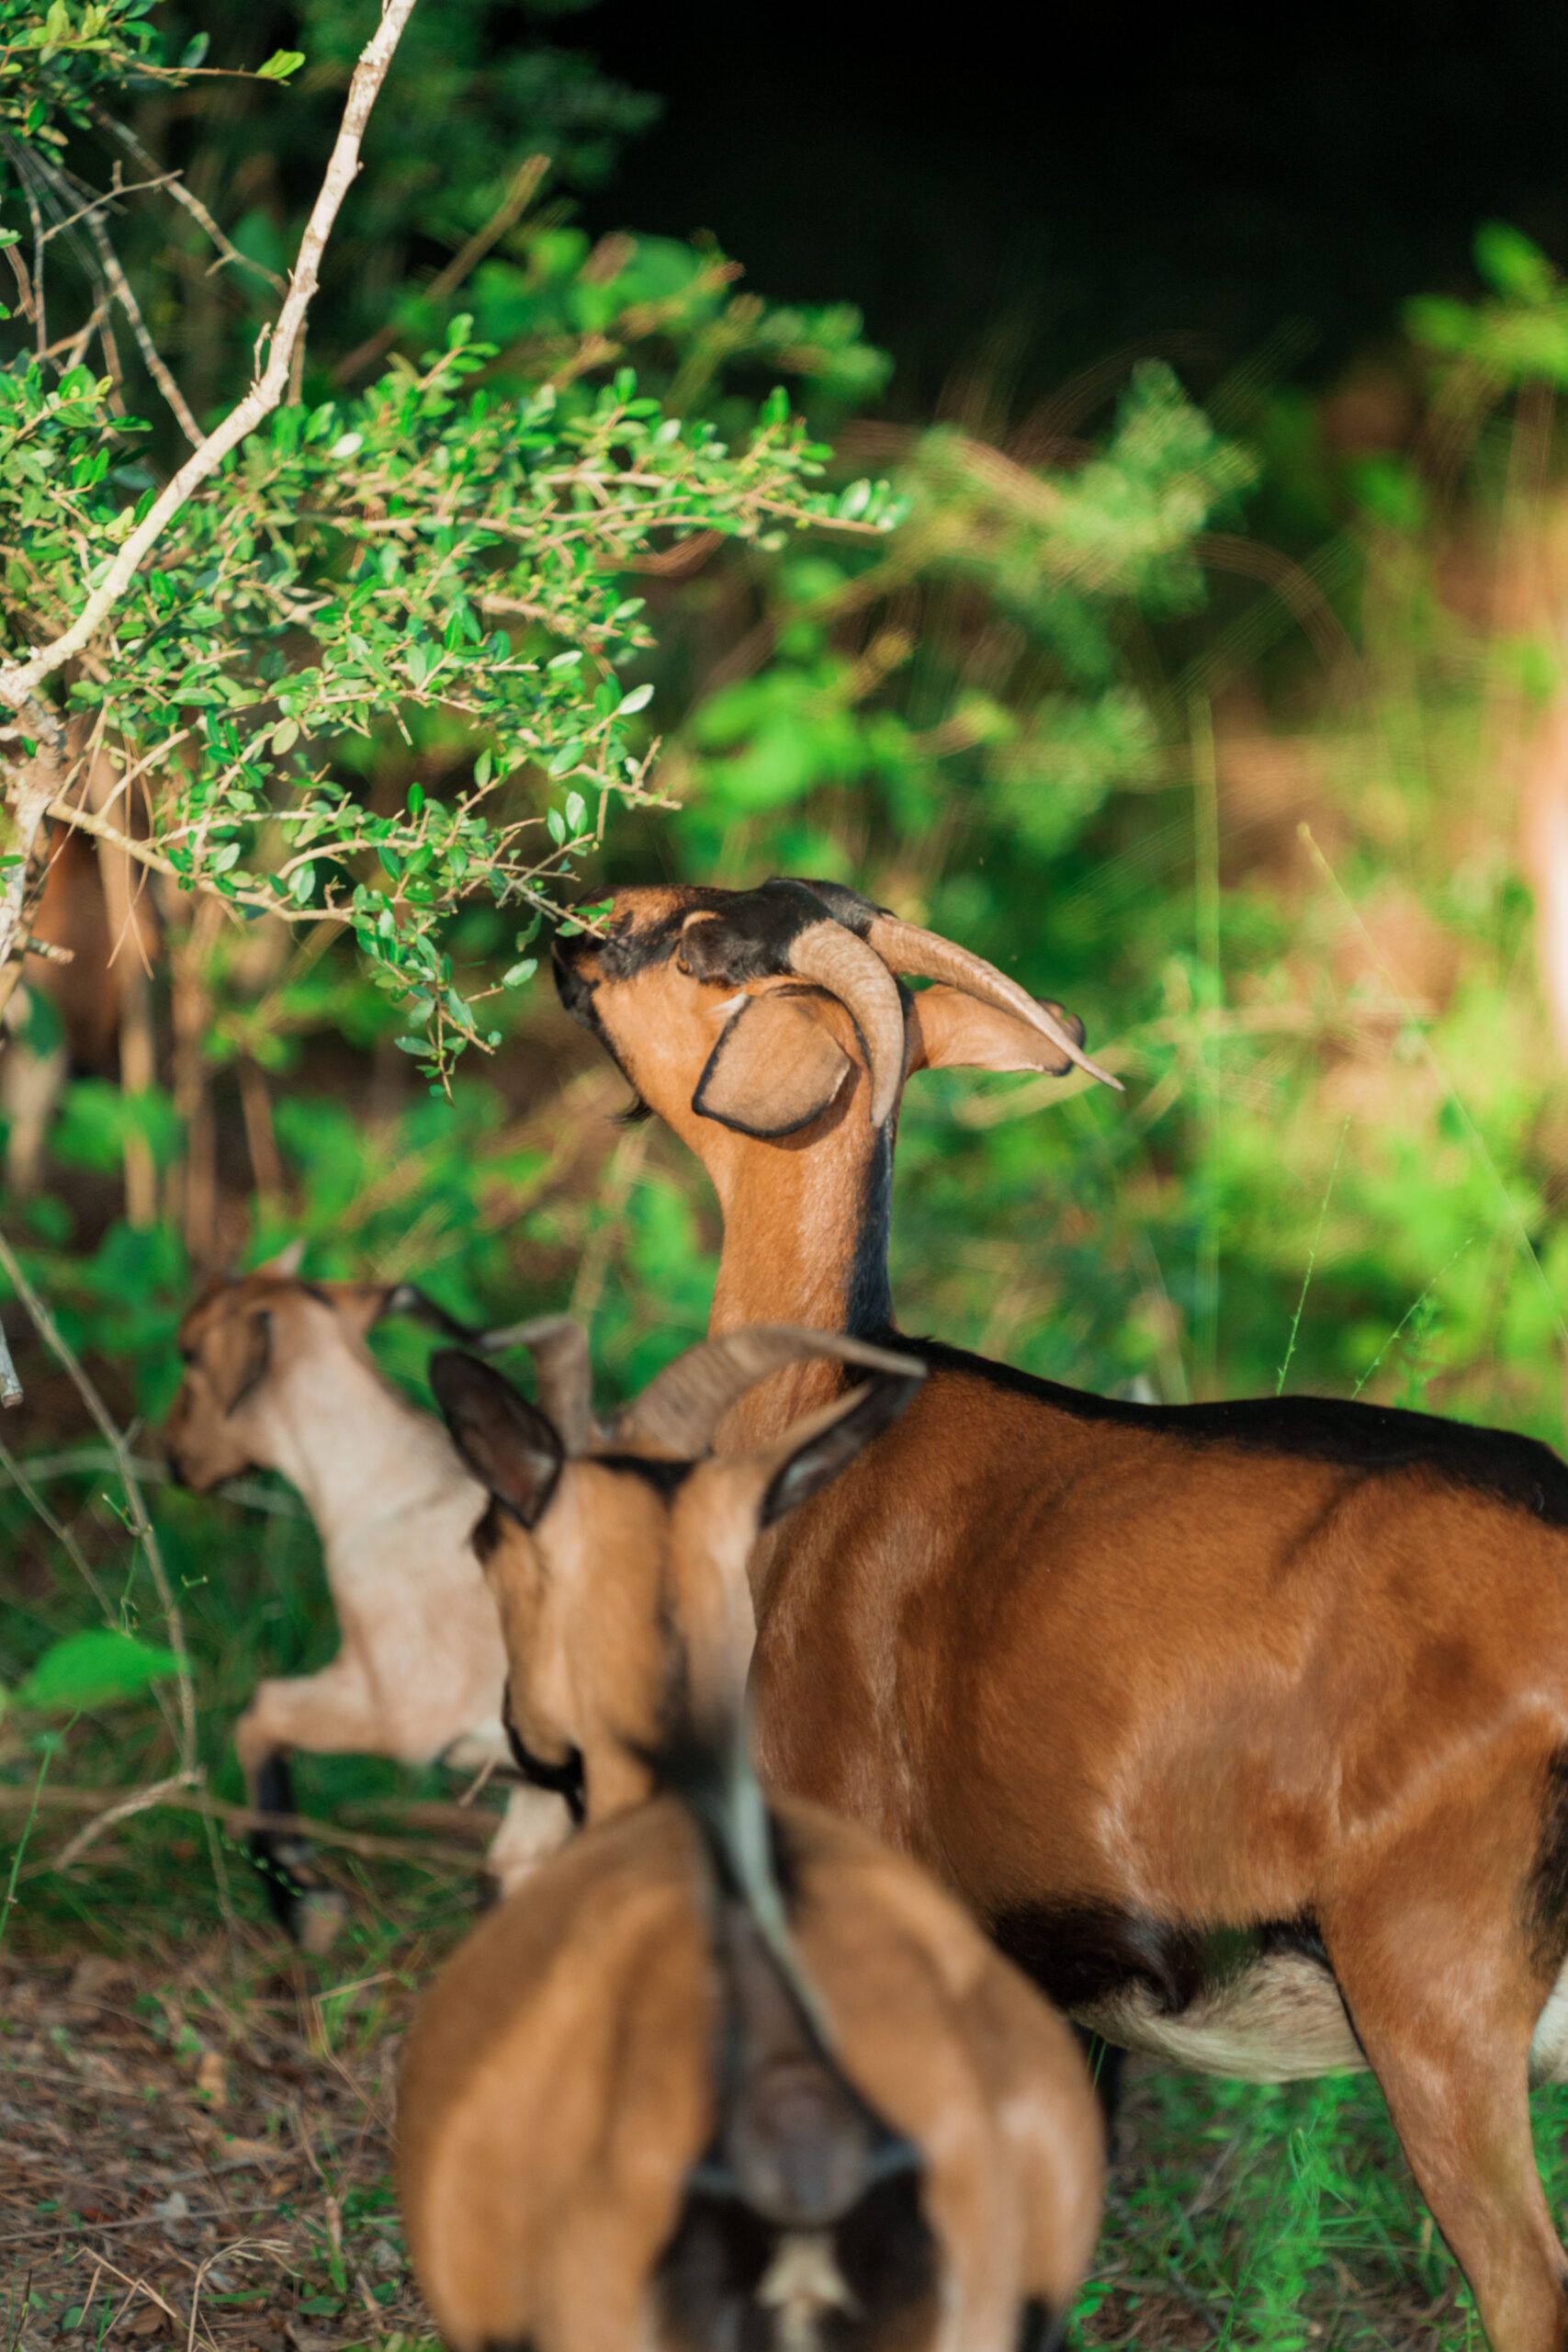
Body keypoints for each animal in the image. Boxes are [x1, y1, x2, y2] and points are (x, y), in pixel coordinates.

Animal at [163, 1248, 572, 1945]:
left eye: (189, 1352)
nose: (171, 1457)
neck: (394, 1493)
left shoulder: (400, 1711)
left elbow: (260, 1714)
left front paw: (305, 1902)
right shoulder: (536, 1787)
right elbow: (510, 1893)